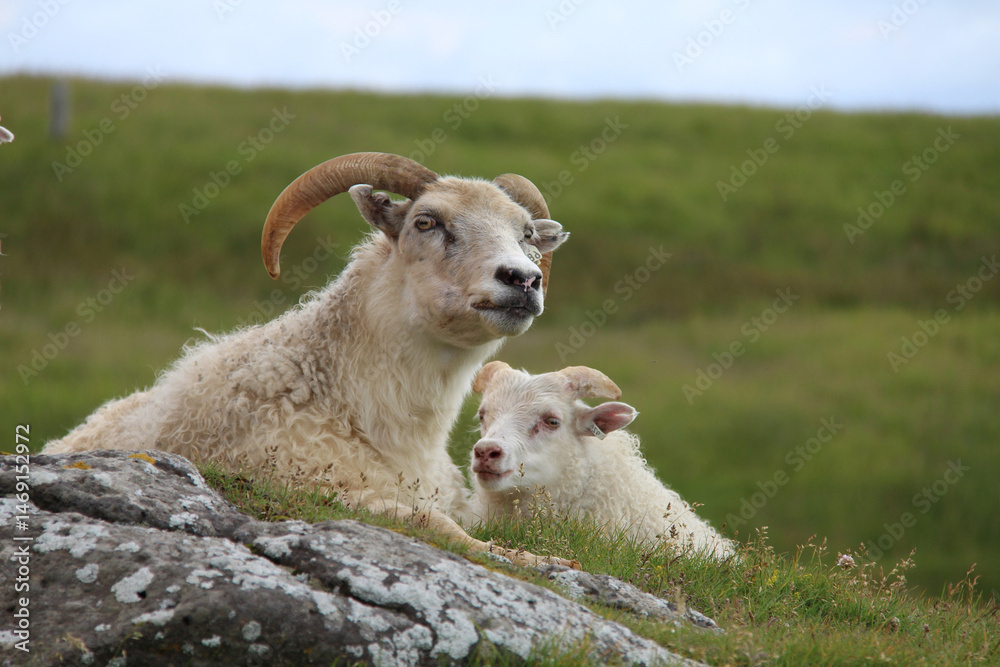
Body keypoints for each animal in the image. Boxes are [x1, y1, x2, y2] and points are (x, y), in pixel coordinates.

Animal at [43, 152, 573, 567]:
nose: (524, 279)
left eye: (526, 233)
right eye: (426, 222)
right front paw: (519, 556)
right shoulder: (299, 483)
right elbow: (429, 521)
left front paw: (537, 556)